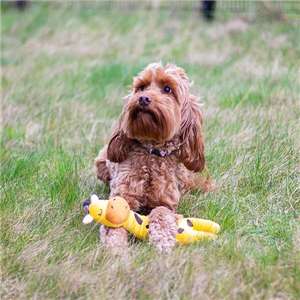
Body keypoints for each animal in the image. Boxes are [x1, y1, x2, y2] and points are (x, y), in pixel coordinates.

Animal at [95, 62, 211, 253]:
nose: (143, 98)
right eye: (141, 87)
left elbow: (161, 213)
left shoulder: (165, 202)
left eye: (167, 89)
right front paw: (115, 246)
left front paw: (162, 239)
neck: (151, 154)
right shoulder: (122, 196)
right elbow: (115, 220)